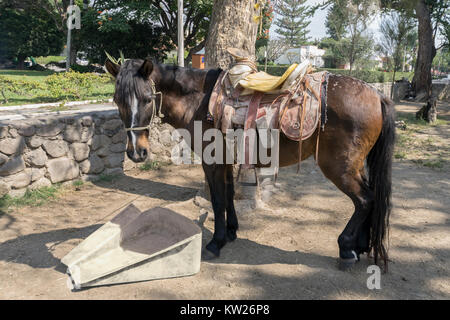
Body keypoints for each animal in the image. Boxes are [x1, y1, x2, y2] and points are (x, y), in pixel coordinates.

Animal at [104, 57, 394, 270]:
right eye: (117, 100)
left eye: (147, 99)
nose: (137, 153)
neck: (199, 100)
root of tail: (376, 94)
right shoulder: (225, 160)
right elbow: (229, 194)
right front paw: (231, 231)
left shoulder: (212, 162)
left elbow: (218, 199)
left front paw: (216, 242)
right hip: (354, 167)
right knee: (369, 199)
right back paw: (360, 245)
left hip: (339, 168)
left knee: (365, 200)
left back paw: (346, 248)